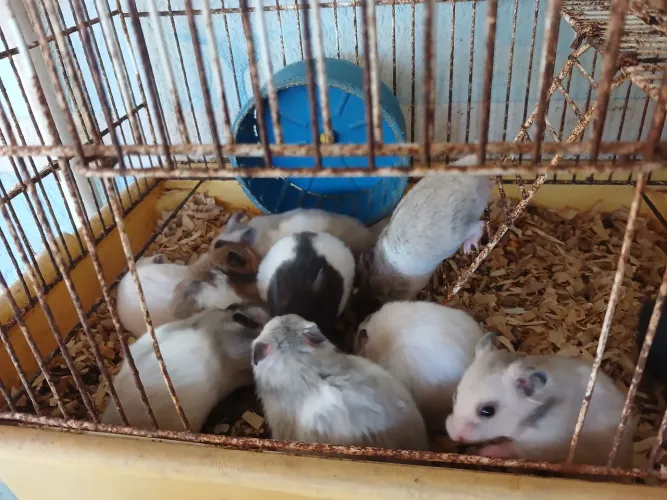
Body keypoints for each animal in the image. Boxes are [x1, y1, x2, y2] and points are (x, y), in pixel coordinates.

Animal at [445, 334, 635, 467]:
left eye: (487, 411)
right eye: (455, 395)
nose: (453, 435)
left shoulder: (540, 445)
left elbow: (512, 448)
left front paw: (483, 450)